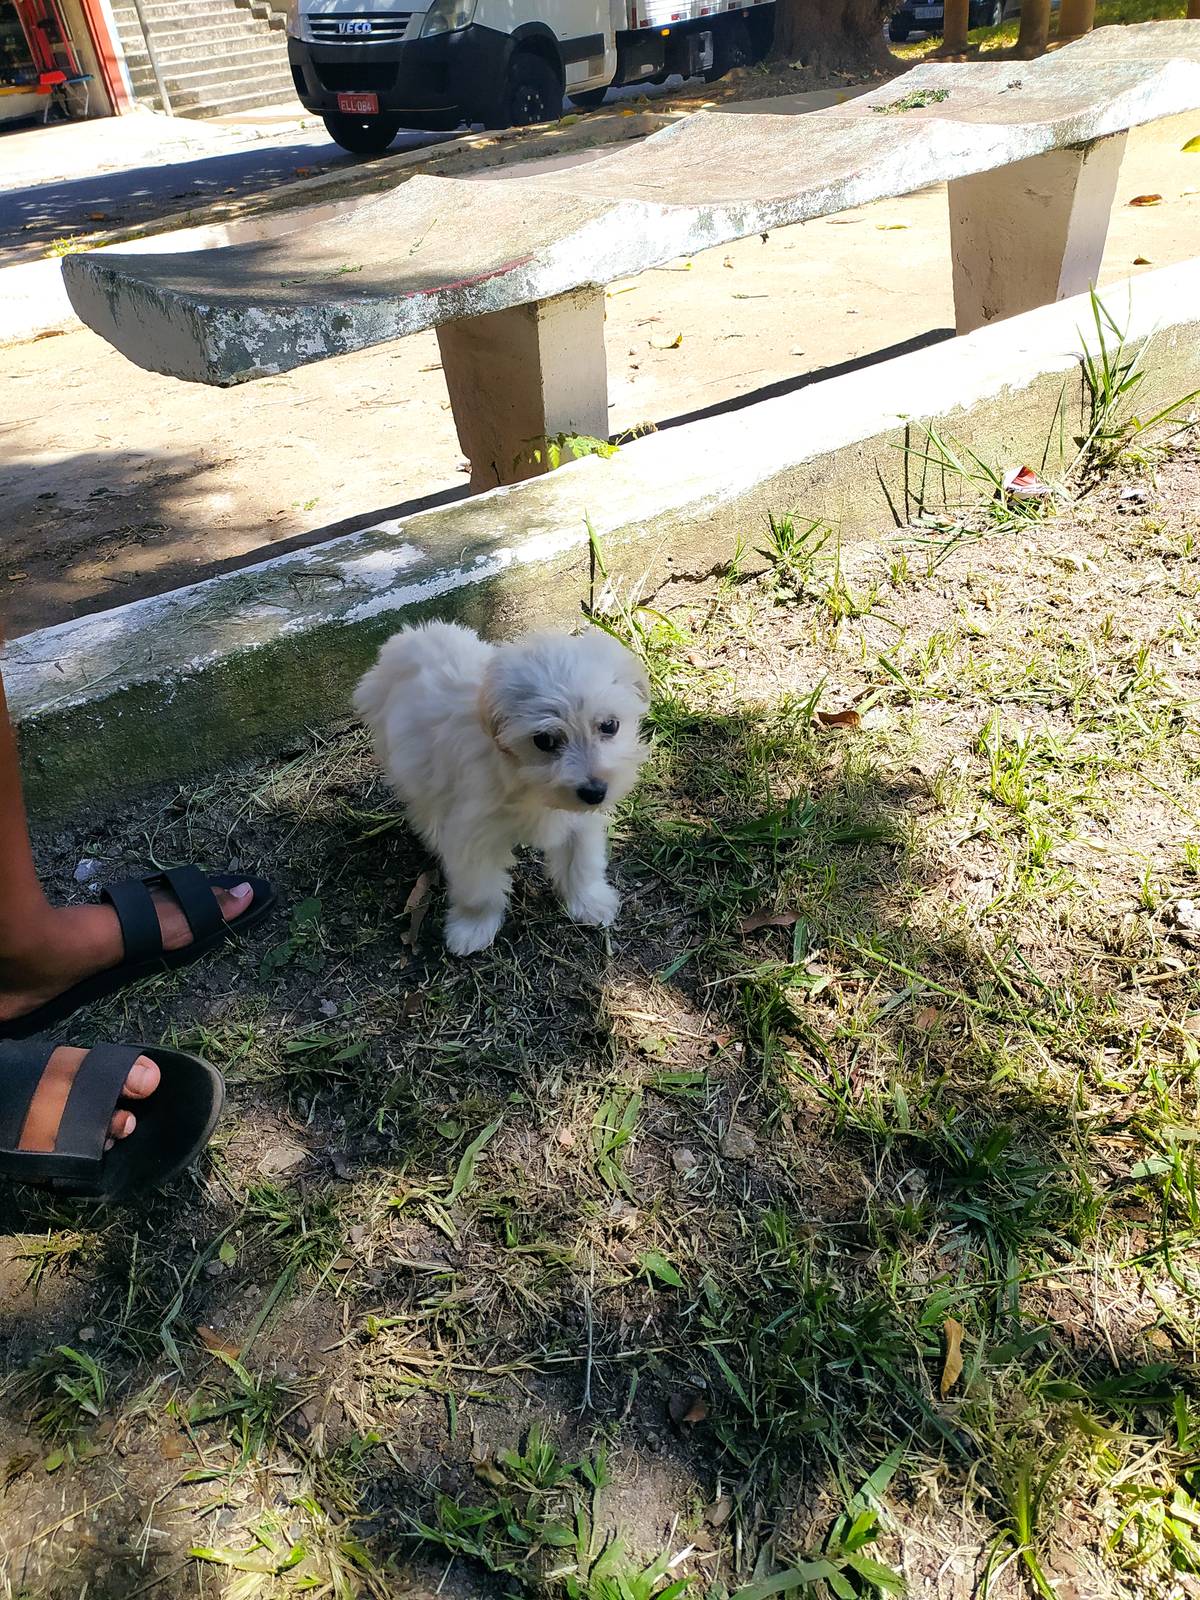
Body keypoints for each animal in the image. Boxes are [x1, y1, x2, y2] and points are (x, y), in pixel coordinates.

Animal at [354, 622, 650, 955]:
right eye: (544, 740)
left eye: (610, 725)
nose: (595, 792)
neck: (526, 781)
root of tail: (408, 636)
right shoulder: (473, 836)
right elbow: (479, 888)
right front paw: (472, 928)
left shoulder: (579, 822)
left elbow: (582, 862)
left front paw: (589, 902)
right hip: (410, 768)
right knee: (425, 806)